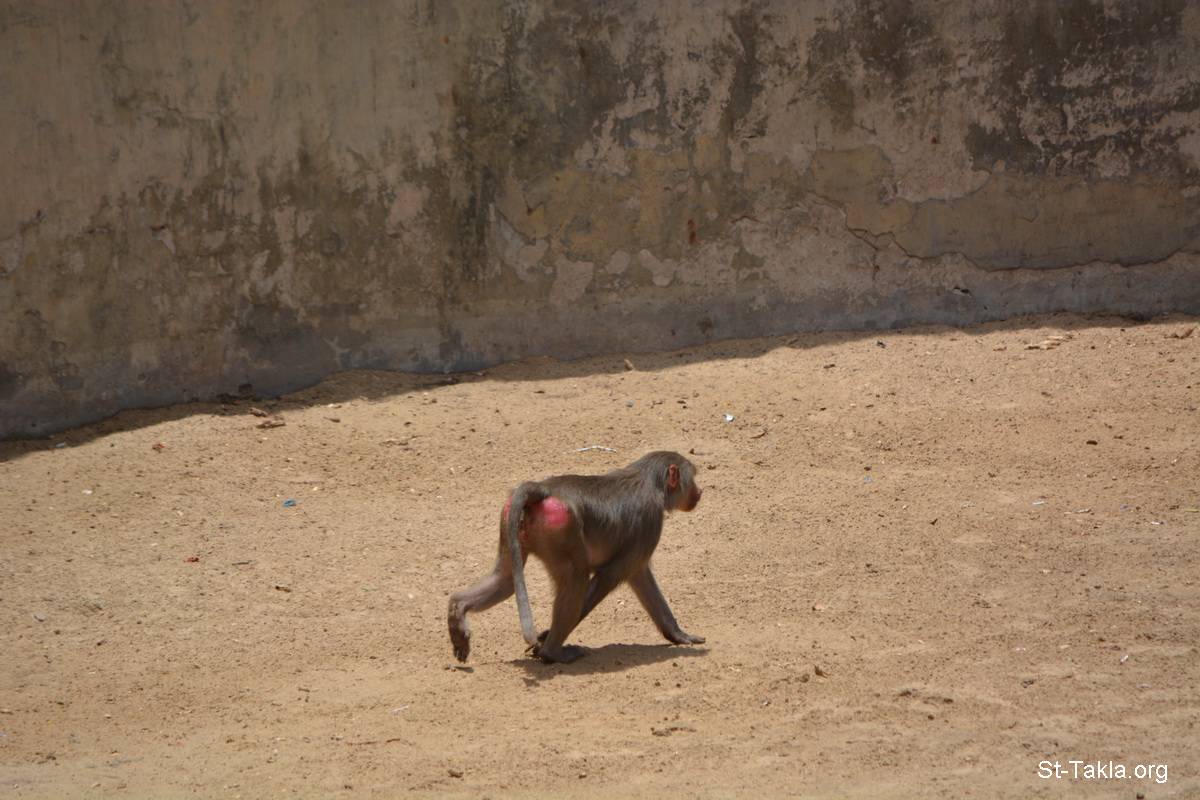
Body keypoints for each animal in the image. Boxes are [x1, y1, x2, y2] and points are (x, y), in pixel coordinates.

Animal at [447, 451, 705, 664]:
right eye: (692, 479)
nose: (700, 492)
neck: (648, 480)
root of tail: (543, 488)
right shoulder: (650, 521)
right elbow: (611, 576)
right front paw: (544, 638)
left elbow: (639, 577)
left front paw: (678, 635)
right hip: (561, 526)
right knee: (576, 579)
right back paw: (552, 652)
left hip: (511, 516)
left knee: (506, 579)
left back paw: (457, 611)